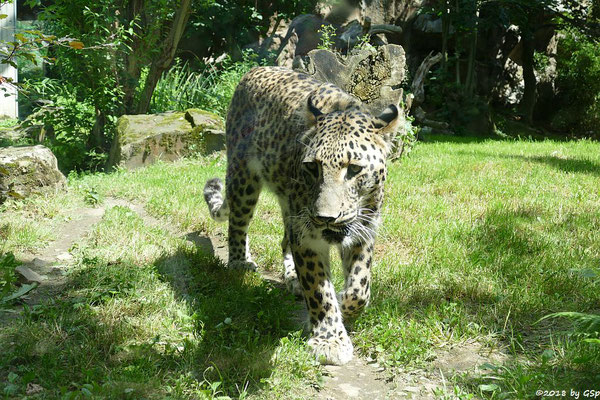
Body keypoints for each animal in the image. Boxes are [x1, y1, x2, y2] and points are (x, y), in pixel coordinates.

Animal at [204, 66, 400, 366]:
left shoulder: (365, 228)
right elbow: (319, 289)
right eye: (312, 167)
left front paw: (345, 305)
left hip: (289, 206)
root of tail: (254, 70)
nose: (326, 218)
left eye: (354, 169)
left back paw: (292, 278)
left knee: (284, 241)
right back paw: (240, 262)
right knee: (238, 222)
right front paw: (330, 340)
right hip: (243, 177)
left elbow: (360, 288)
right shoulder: (307, 237)